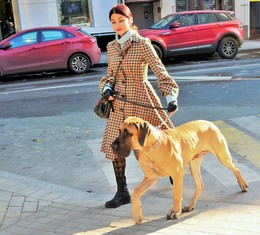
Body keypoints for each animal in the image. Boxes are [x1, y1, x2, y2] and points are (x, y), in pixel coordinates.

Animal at [110, 116, 249, 224]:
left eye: (127, 132)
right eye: (119, 130)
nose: (112, 146)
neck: (151, 148)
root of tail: (210, 123)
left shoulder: (177, 174)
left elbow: (176, 194)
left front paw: (174, 212)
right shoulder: (150, 178)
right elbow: (136, 193)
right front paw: (137, 214)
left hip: (222, 157)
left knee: (236, 168)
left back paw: (243, 184)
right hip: (194, 164)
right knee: (200, 185)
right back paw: (190, 205)